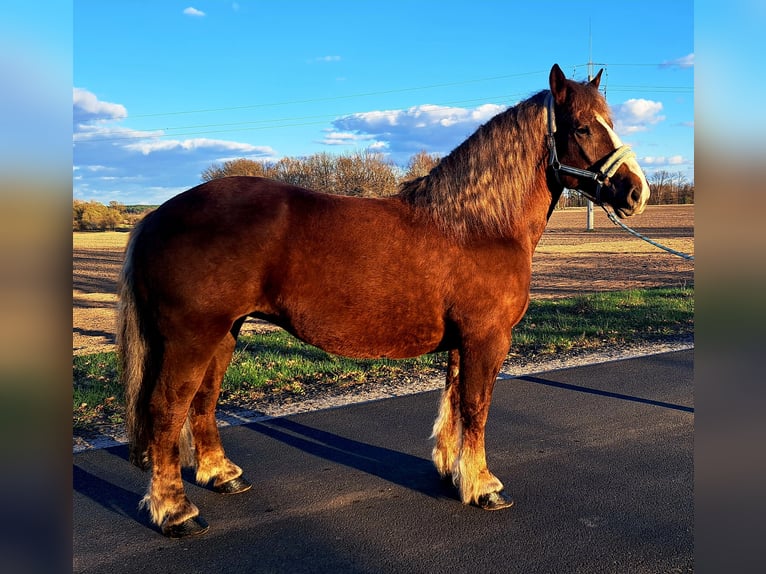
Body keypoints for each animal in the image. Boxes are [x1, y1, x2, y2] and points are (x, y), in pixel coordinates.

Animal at [118, 64, 650, 537]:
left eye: (611, 122)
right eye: (582, 127)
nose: (636, 192)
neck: (478, 225)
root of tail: (155, 217)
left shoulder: (464, 341)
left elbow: (454, 401)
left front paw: (452, 471)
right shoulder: (487, 339)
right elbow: (476, 406)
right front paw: (482, 486)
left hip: (225, 333)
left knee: (203, 402)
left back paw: (221, 475)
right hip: (193, 337)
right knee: (167, 409)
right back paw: (175, 511)